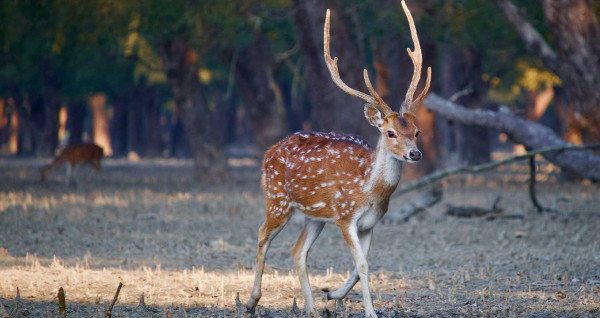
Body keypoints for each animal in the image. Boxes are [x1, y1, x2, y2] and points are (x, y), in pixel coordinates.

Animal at [246, 1, 428, 316]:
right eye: (390, 132)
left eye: (416, 131)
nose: (414, 153)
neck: (370, 191)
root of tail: (269, 151)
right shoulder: (345, 217)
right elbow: (363, 265)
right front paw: (370, 311)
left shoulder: (370, 223)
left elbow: (361, 265)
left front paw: (333, 295)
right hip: (278, 199)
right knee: (261, 234)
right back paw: (251, 301)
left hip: (314, 216)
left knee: (298, 251)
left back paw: (311, 308)